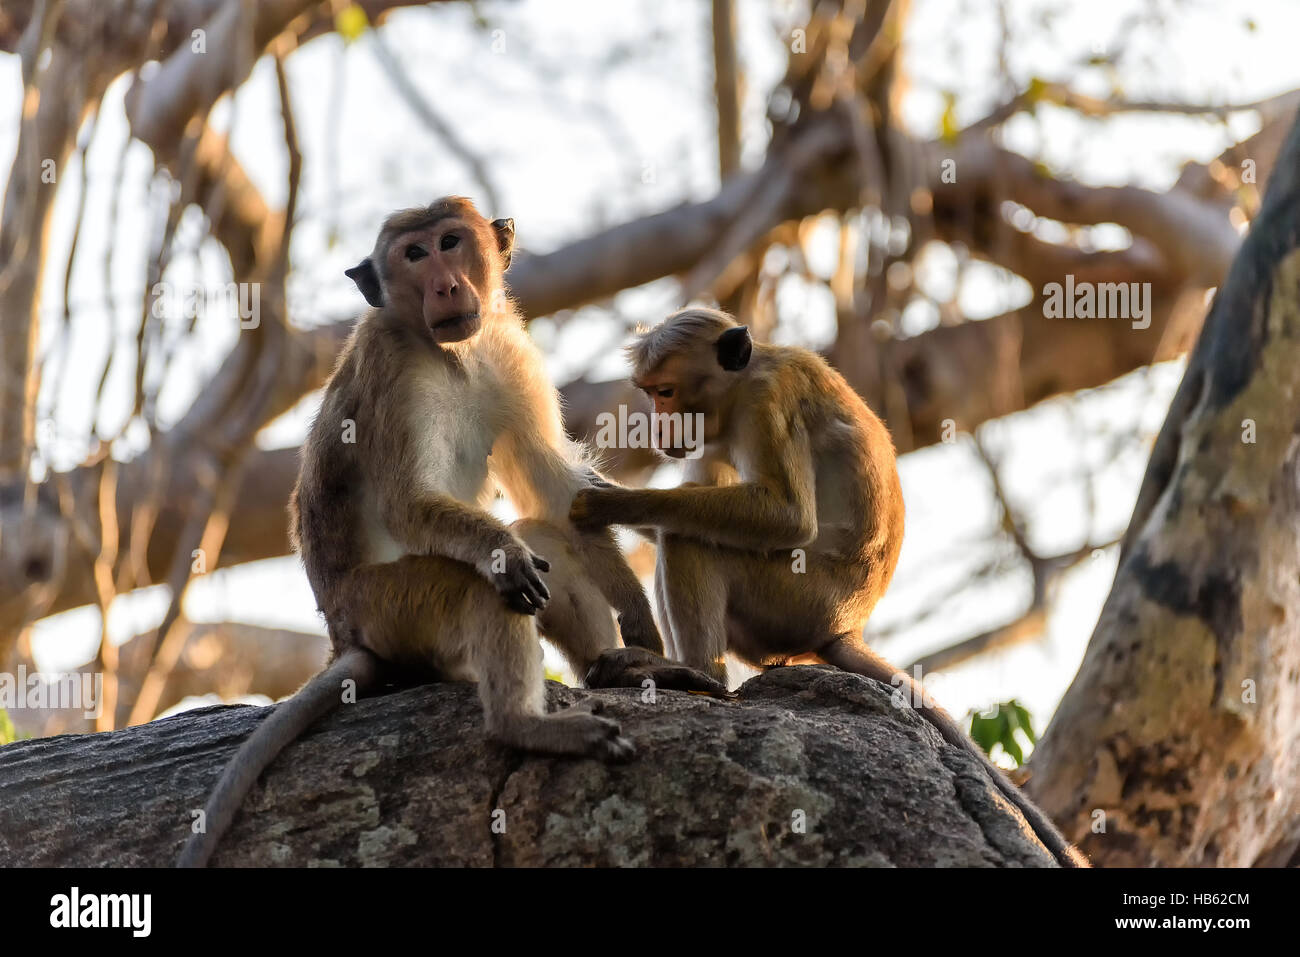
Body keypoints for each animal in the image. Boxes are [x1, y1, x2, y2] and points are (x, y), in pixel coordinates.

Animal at [179, 198, 718, 868]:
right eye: (414, 254)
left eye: (450, 242)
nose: (445, 284)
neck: (452, 355)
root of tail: (343, 635)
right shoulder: (389, 363)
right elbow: (412, 505)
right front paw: (504, 555)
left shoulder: (509, 347)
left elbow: (554, 491)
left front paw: (637, 615)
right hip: (389, 606)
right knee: (481, 587)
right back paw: (527, 724)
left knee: (544, 540)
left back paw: (615, 670)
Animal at [572, 307, 1089, 868]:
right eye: (649, 393)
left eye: (665, 391)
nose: (657, 422)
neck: (743, 380)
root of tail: (844, 629)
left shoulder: (767, 403)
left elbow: (788, 518)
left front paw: (611, 502)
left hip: (798, 600)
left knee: (691, 539)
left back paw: (695, 675)